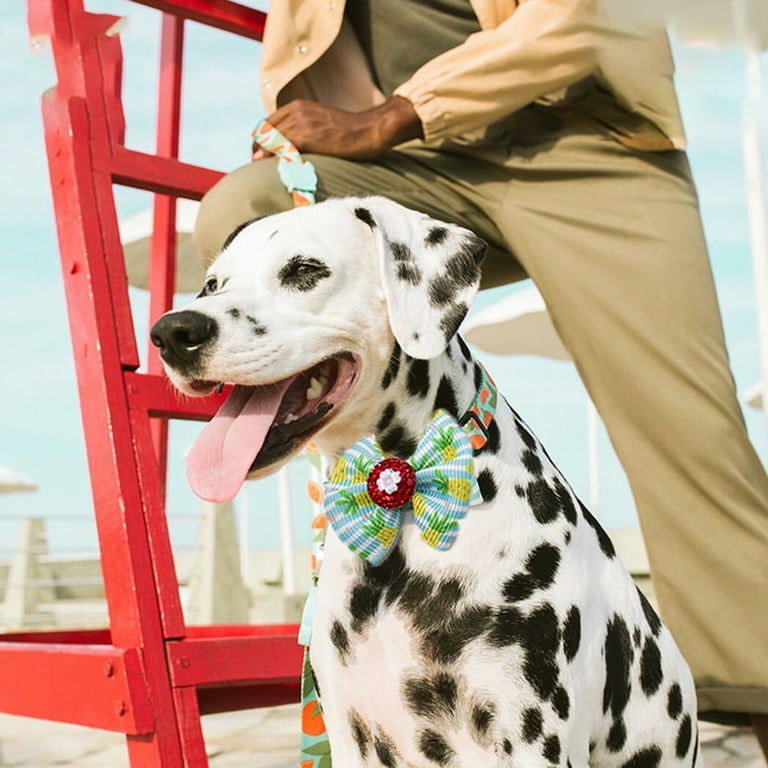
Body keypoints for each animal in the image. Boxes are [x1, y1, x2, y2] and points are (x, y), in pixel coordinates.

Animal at [150, 198, 704, 768]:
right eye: (212, 283)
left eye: (304, 270)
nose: (174, 332)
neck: (402, 504)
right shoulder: (349, 736)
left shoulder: (530, 741)